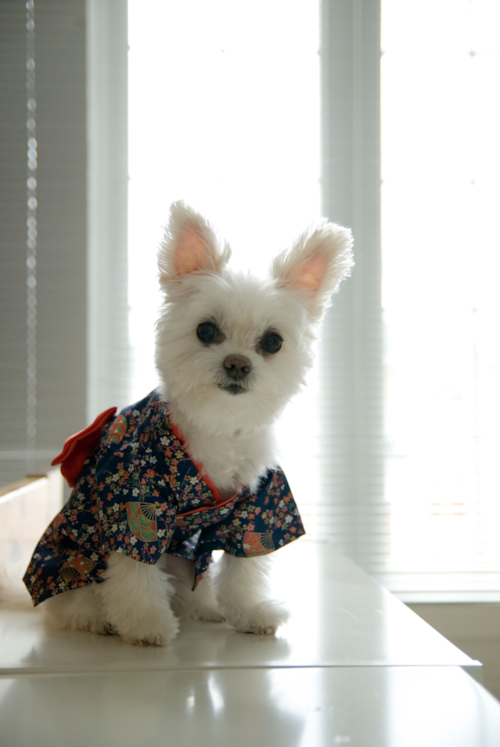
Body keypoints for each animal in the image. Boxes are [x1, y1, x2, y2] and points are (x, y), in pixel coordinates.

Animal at [21, 202, 354, 644]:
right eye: (206, 330)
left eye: (272, 342)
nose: (237, 363)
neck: (215, 424)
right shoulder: (136, 502)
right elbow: (135, 571)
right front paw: (146, 625)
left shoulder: (256, 507)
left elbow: (244, 563)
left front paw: (248, 612)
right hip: (73, 562)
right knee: (71, 599)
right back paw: (94, 616)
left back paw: (203, 606)